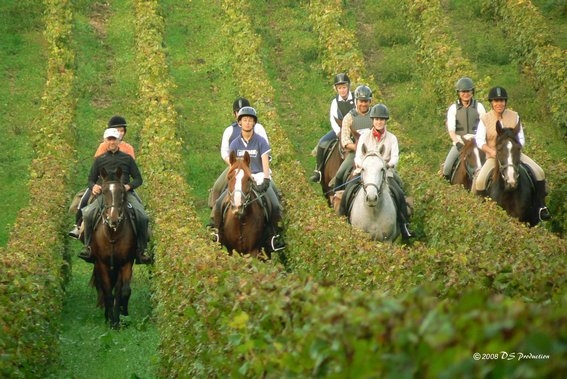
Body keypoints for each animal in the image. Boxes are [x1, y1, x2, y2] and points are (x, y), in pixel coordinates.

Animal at [90, 168, 137, 328]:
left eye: (121, 191)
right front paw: (110, 320)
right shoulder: (101, 263)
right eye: (104, 192)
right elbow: (107, 292)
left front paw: (120, 318)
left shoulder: (125, 262)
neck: (112, 234)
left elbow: (123, 291)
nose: (113, 219)